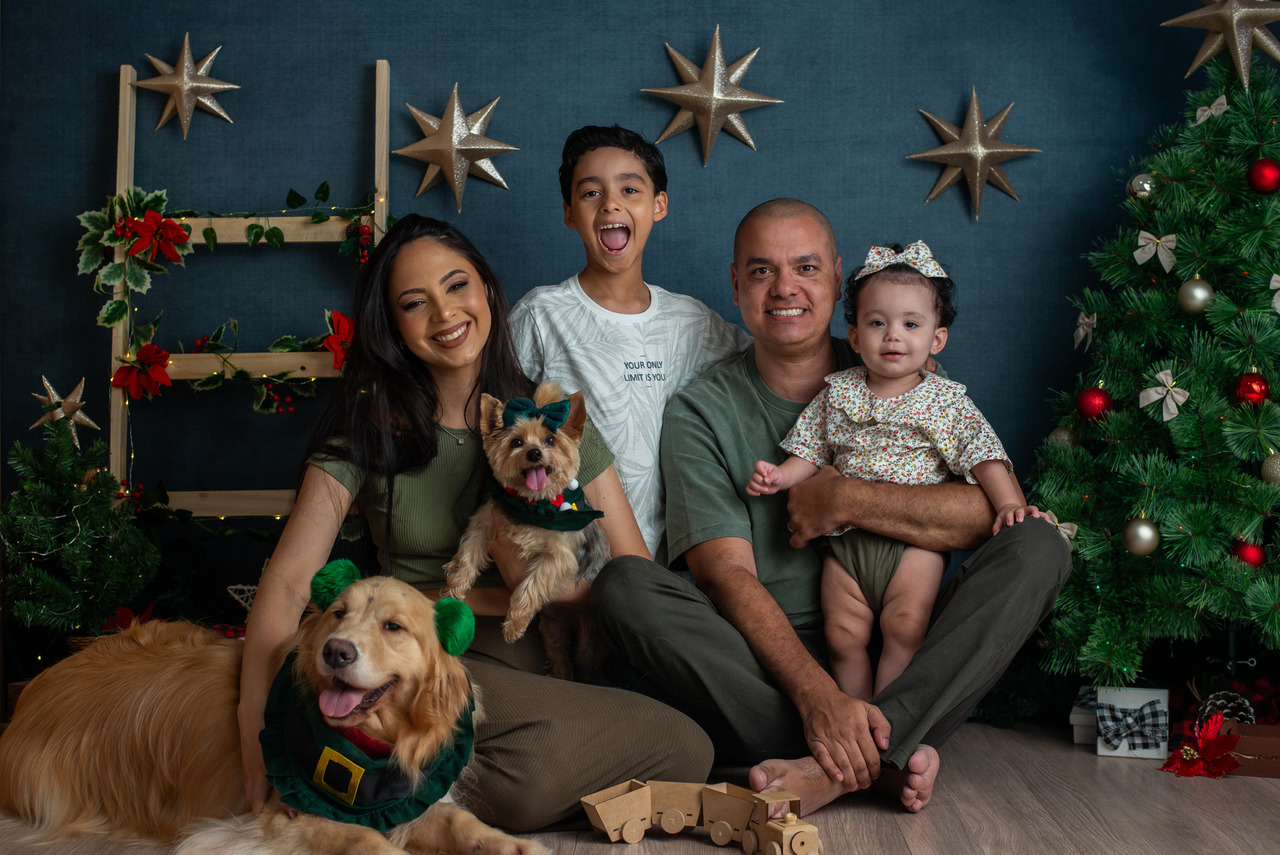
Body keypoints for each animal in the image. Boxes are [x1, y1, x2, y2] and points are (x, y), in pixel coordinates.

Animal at [0, 573, 545, 855]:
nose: (336, 652)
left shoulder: (408, 798)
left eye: (393, 626)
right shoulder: (274, 819)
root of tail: (34, 688)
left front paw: (511, 845)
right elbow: (366, 840)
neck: (363, 747)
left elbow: (457, 820)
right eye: (338, 613)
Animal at [445, 381, 609, 680]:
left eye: (550, 441)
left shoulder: (559, 557)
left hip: (590, 642)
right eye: (517, 442)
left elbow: (531, 584)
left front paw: (514, 624)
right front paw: (454, 588)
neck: (532, 504)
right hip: (551, 633)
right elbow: (468, 552)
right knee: (560, 658)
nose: (534, 453)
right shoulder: (486, 520)